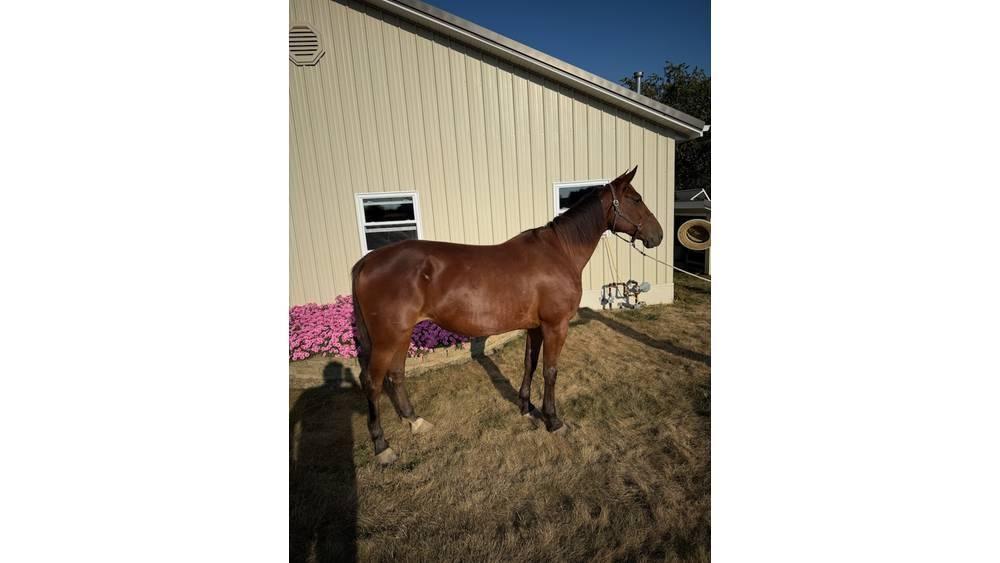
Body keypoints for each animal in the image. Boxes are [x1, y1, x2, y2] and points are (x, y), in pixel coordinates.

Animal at [350, 166, 663, 464]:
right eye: (636, 199)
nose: (658, 235)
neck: (560, 251)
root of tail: (367, 261)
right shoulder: (555, 326)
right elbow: (550, 371)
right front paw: (553, 420)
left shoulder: (535, 327)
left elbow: (530, 365)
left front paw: (526, 407)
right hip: (387, 338)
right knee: (372, 382)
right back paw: (382, 446)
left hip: (402, 334)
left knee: (396, 374)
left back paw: (414, 421)